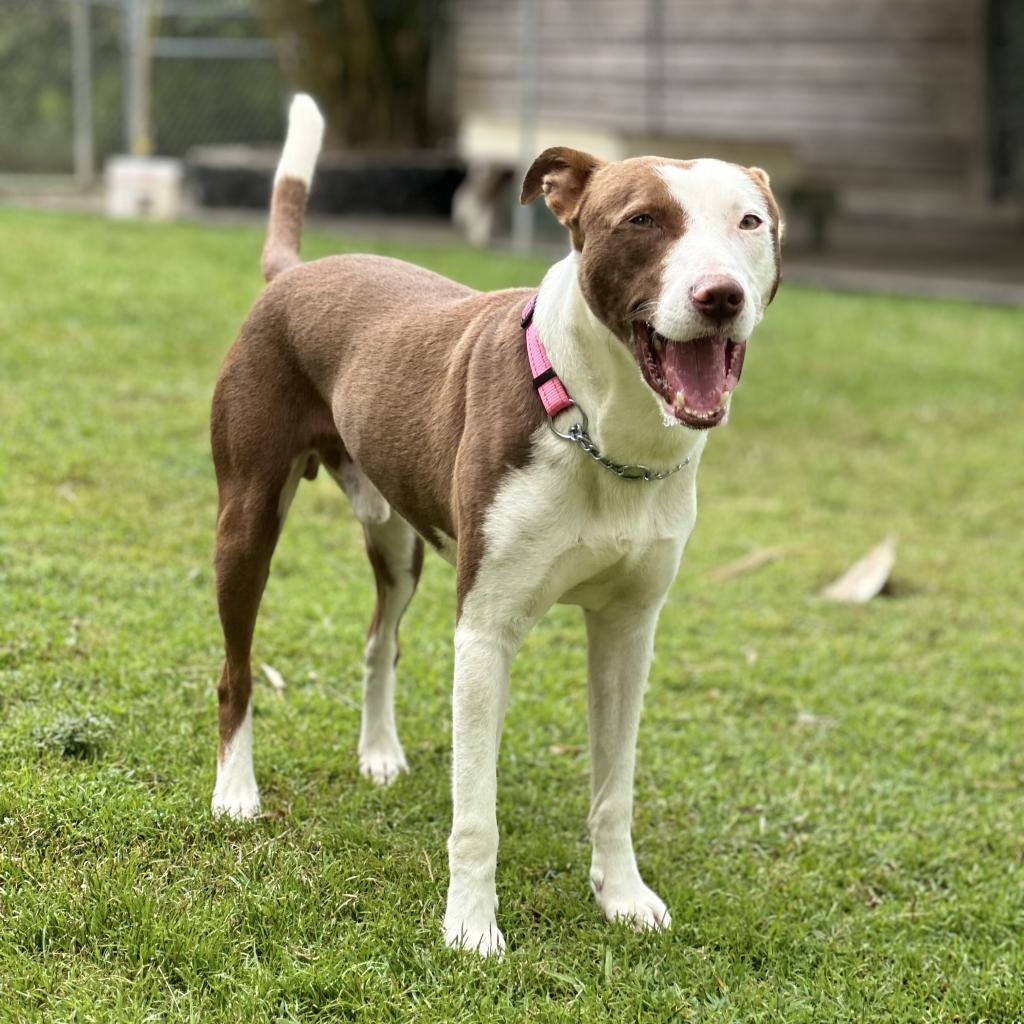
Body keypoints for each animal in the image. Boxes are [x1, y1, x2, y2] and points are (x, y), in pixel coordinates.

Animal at [209, 92, 782, 954]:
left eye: (750, 221)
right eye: (643, 219)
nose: (721, 296)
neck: (600, 432)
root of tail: (298, 272)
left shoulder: (628, 630)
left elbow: (615, 787)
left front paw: (622, 894)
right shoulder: (486, 632)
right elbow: (475, 811)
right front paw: (471, 926)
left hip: (397, 535)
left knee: (380, 636)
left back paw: (379, 753)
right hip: (245, 520)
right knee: (235, 669)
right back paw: (236, 791)